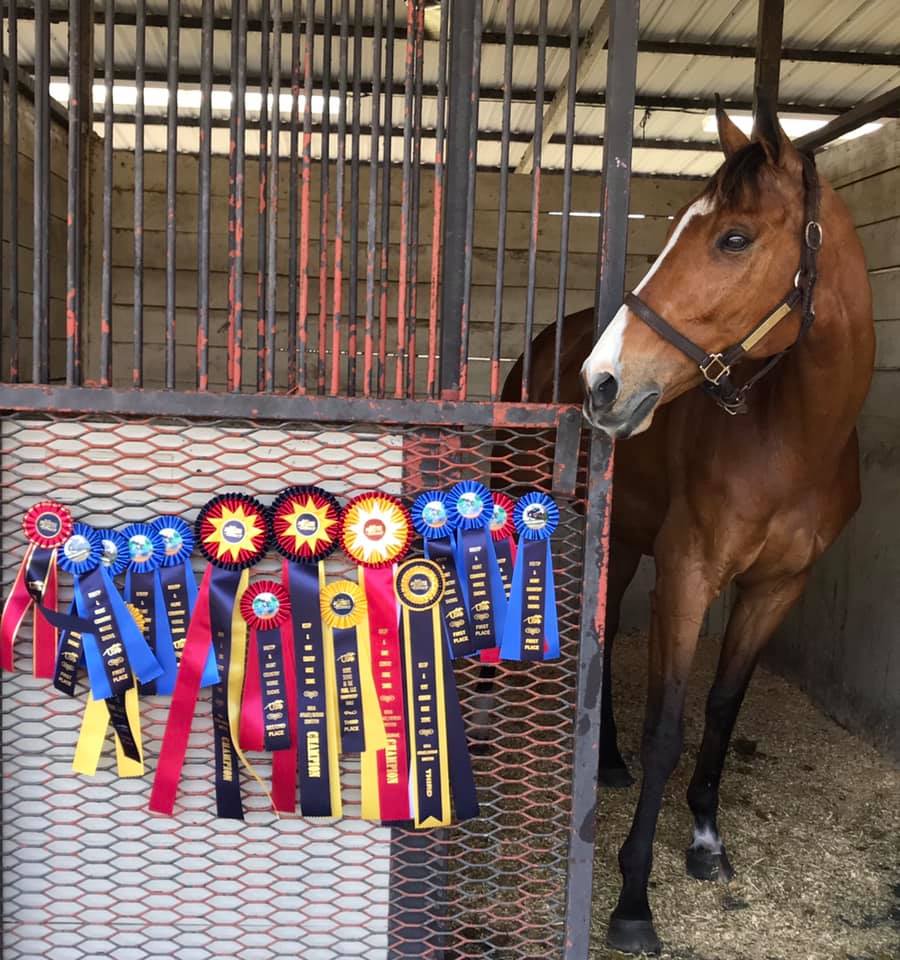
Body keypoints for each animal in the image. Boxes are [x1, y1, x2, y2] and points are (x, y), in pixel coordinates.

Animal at [503, 97, 875, 954]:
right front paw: (633, 899)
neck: (790, 436)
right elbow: (667, 729)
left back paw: (605, 759)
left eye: (733, 238)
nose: (601, 383)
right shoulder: (689, 573)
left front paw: (705, 838)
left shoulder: (776, 588)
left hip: (628, 535)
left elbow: (722, 707)